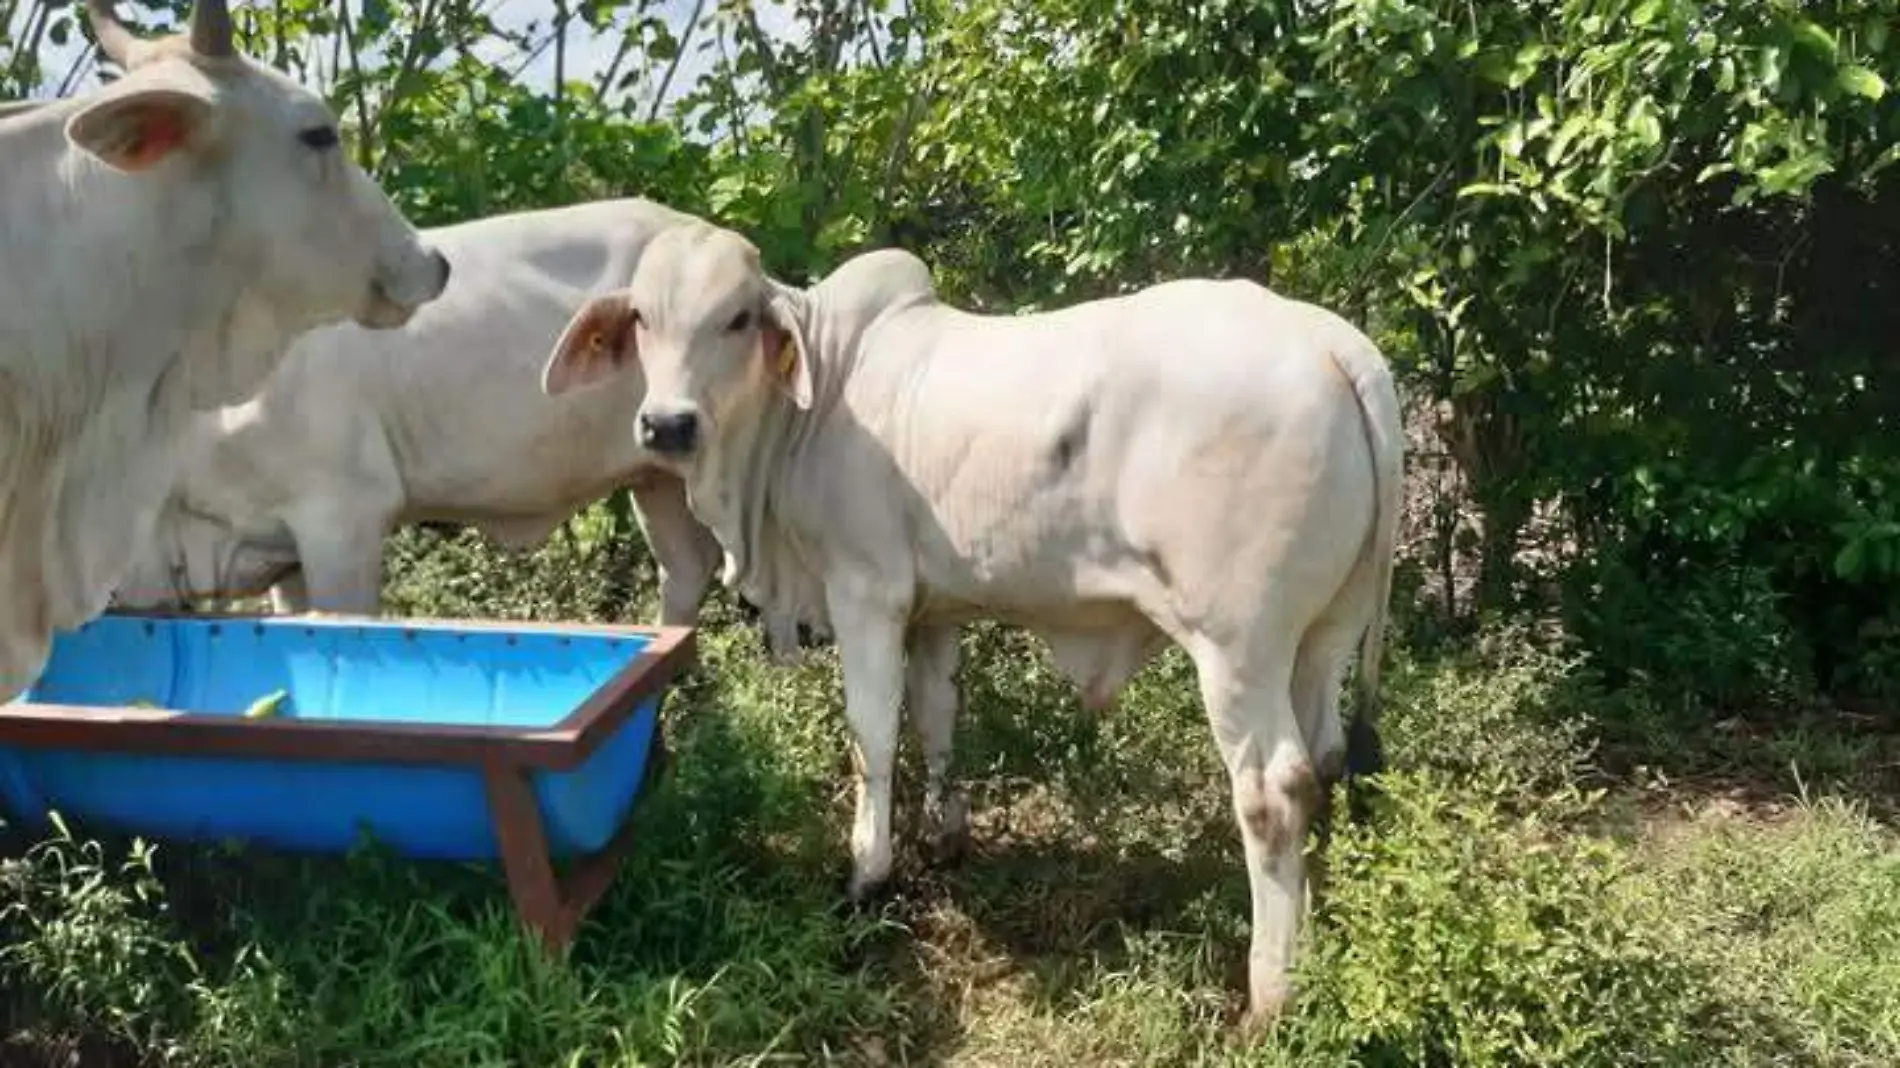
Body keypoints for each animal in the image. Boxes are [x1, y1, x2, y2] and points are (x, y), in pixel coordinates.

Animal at [534, 225, 1404, 1030]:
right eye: (642, 318)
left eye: (738, 318)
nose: (668, 425)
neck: (809, 405)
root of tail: (1334, 343)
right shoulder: (934, 609)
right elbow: (936, 713)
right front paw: (942, 839)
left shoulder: (867, 591)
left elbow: (873, 734)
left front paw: (867, 873)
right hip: (1323, 636)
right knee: (1325, 761)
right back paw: (1316, 944)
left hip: (1237, 648)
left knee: (1275, 790)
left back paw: (1270, 997)